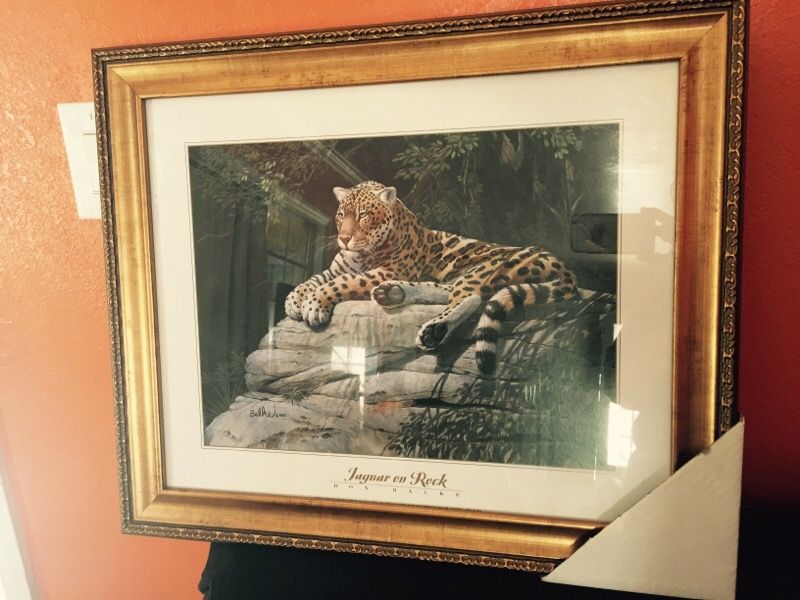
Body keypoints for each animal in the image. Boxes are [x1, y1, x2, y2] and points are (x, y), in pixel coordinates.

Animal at [284, 181, 579, 374]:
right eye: (340, 215)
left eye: (364, 215)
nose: (344, 239)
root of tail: (554, 258)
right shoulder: (338, 268)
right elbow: (313, 280)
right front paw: (293, 301)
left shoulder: (384, 271)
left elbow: (341, 283)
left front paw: (314, 305)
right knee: (447, 291)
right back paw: (391, 293)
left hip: (482, 268)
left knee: (470, 298)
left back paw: (432, 331)